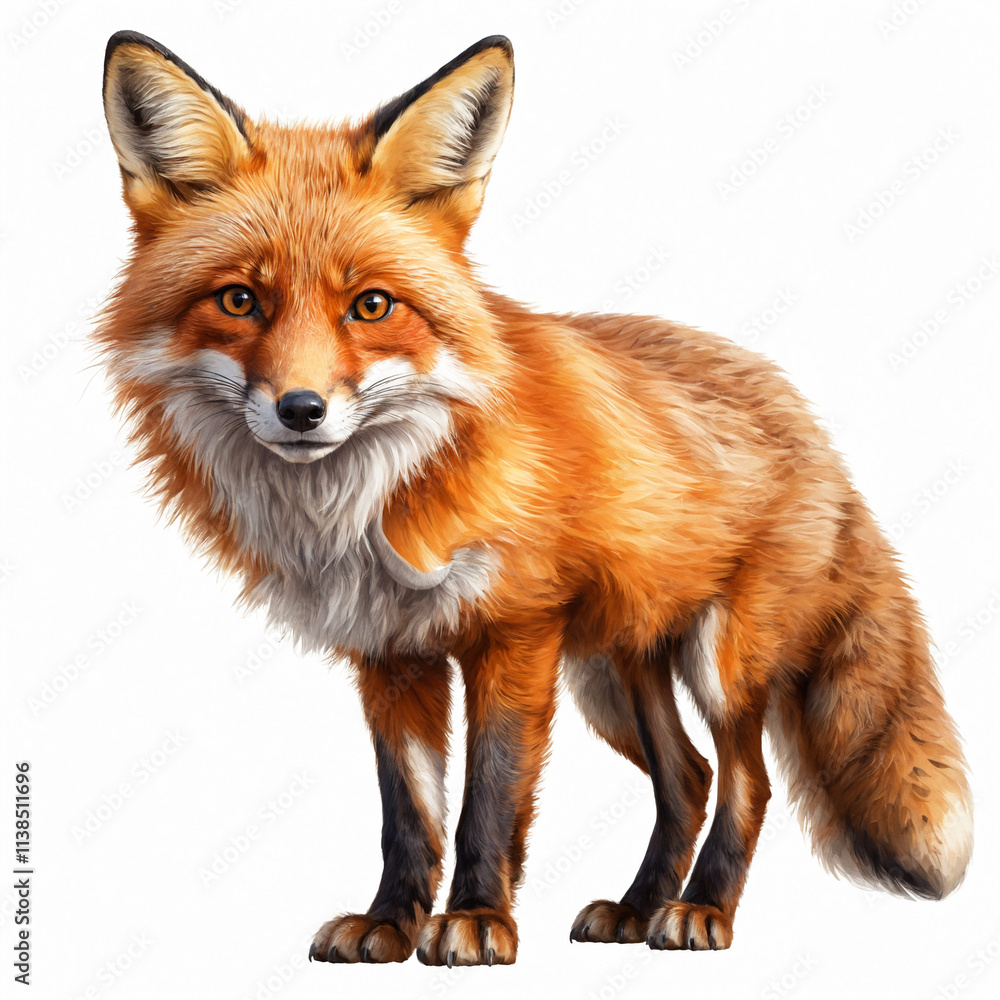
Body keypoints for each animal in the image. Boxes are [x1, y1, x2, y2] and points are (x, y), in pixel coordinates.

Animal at [97, 30, 972, 965]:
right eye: (239, 300)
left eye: (371, 306)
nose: (301, 411)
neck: (377, 500)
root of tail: (802, 412)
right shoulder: (389, 652)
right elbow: (407, 812)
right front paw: (390, 923)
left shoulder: (516, 633)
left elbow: (489, 797)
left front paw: (478, 921)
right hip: (616, 674)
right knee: (689, 777)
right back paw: (638, 908)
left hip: (718, 662)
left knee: (747, 779)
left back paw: (700, 911)